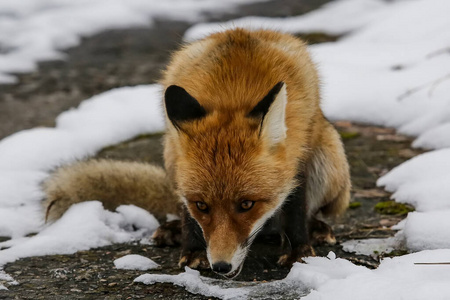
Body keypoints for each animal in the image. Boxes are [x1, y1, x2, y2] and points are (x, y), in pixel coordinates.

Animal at [43, 28, 352, 278]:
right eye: (202, 206)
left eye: (247, 204)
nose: (221, 267)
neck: (233, 91)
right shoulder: (178, 164)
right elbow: (187, 213)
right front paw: (193, 251)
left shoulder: (300, 152)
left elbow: (295, 207)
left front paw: (299, 251)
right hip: (169, 157)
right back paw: (172, 229)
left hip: (331, 161)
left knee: (310, 210)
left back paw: (316, 228)